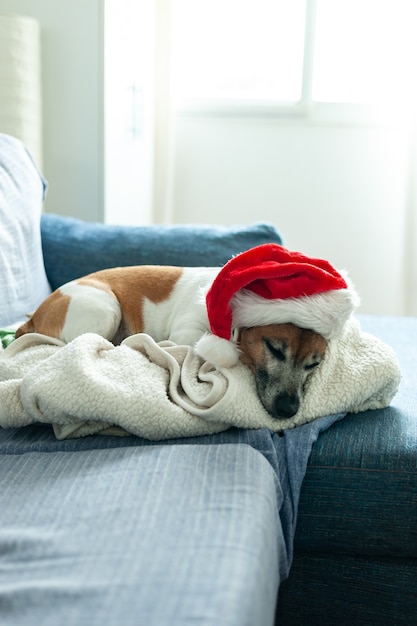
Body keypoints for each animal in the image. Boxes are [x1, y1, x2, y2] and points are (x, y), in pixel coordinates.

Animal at [14, 264, 328, 420]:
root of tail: (35, 315)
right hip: (104, 309)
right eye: (274, 349)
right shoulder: (187, 333)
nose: (288, 410)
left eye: (314, 364)